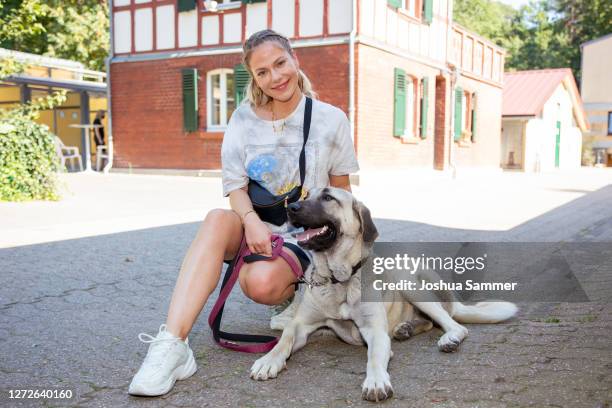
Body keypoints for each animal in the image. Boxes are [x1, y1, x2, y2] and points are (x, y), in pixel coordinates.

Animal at [249, 188, 516, 402]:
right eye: (305, 196)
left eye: (327, 197)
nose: (291, 208)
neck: (340, 279)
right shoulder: (301, 325)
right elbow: (284, 340)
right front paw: (268, 361)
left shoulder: (374, 330)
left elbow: (375, 358)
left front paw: (376, 380)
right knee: (429, 322)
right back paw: (405, 328)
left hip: (408, 281)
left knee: (453, 324)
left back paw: (447, 338)